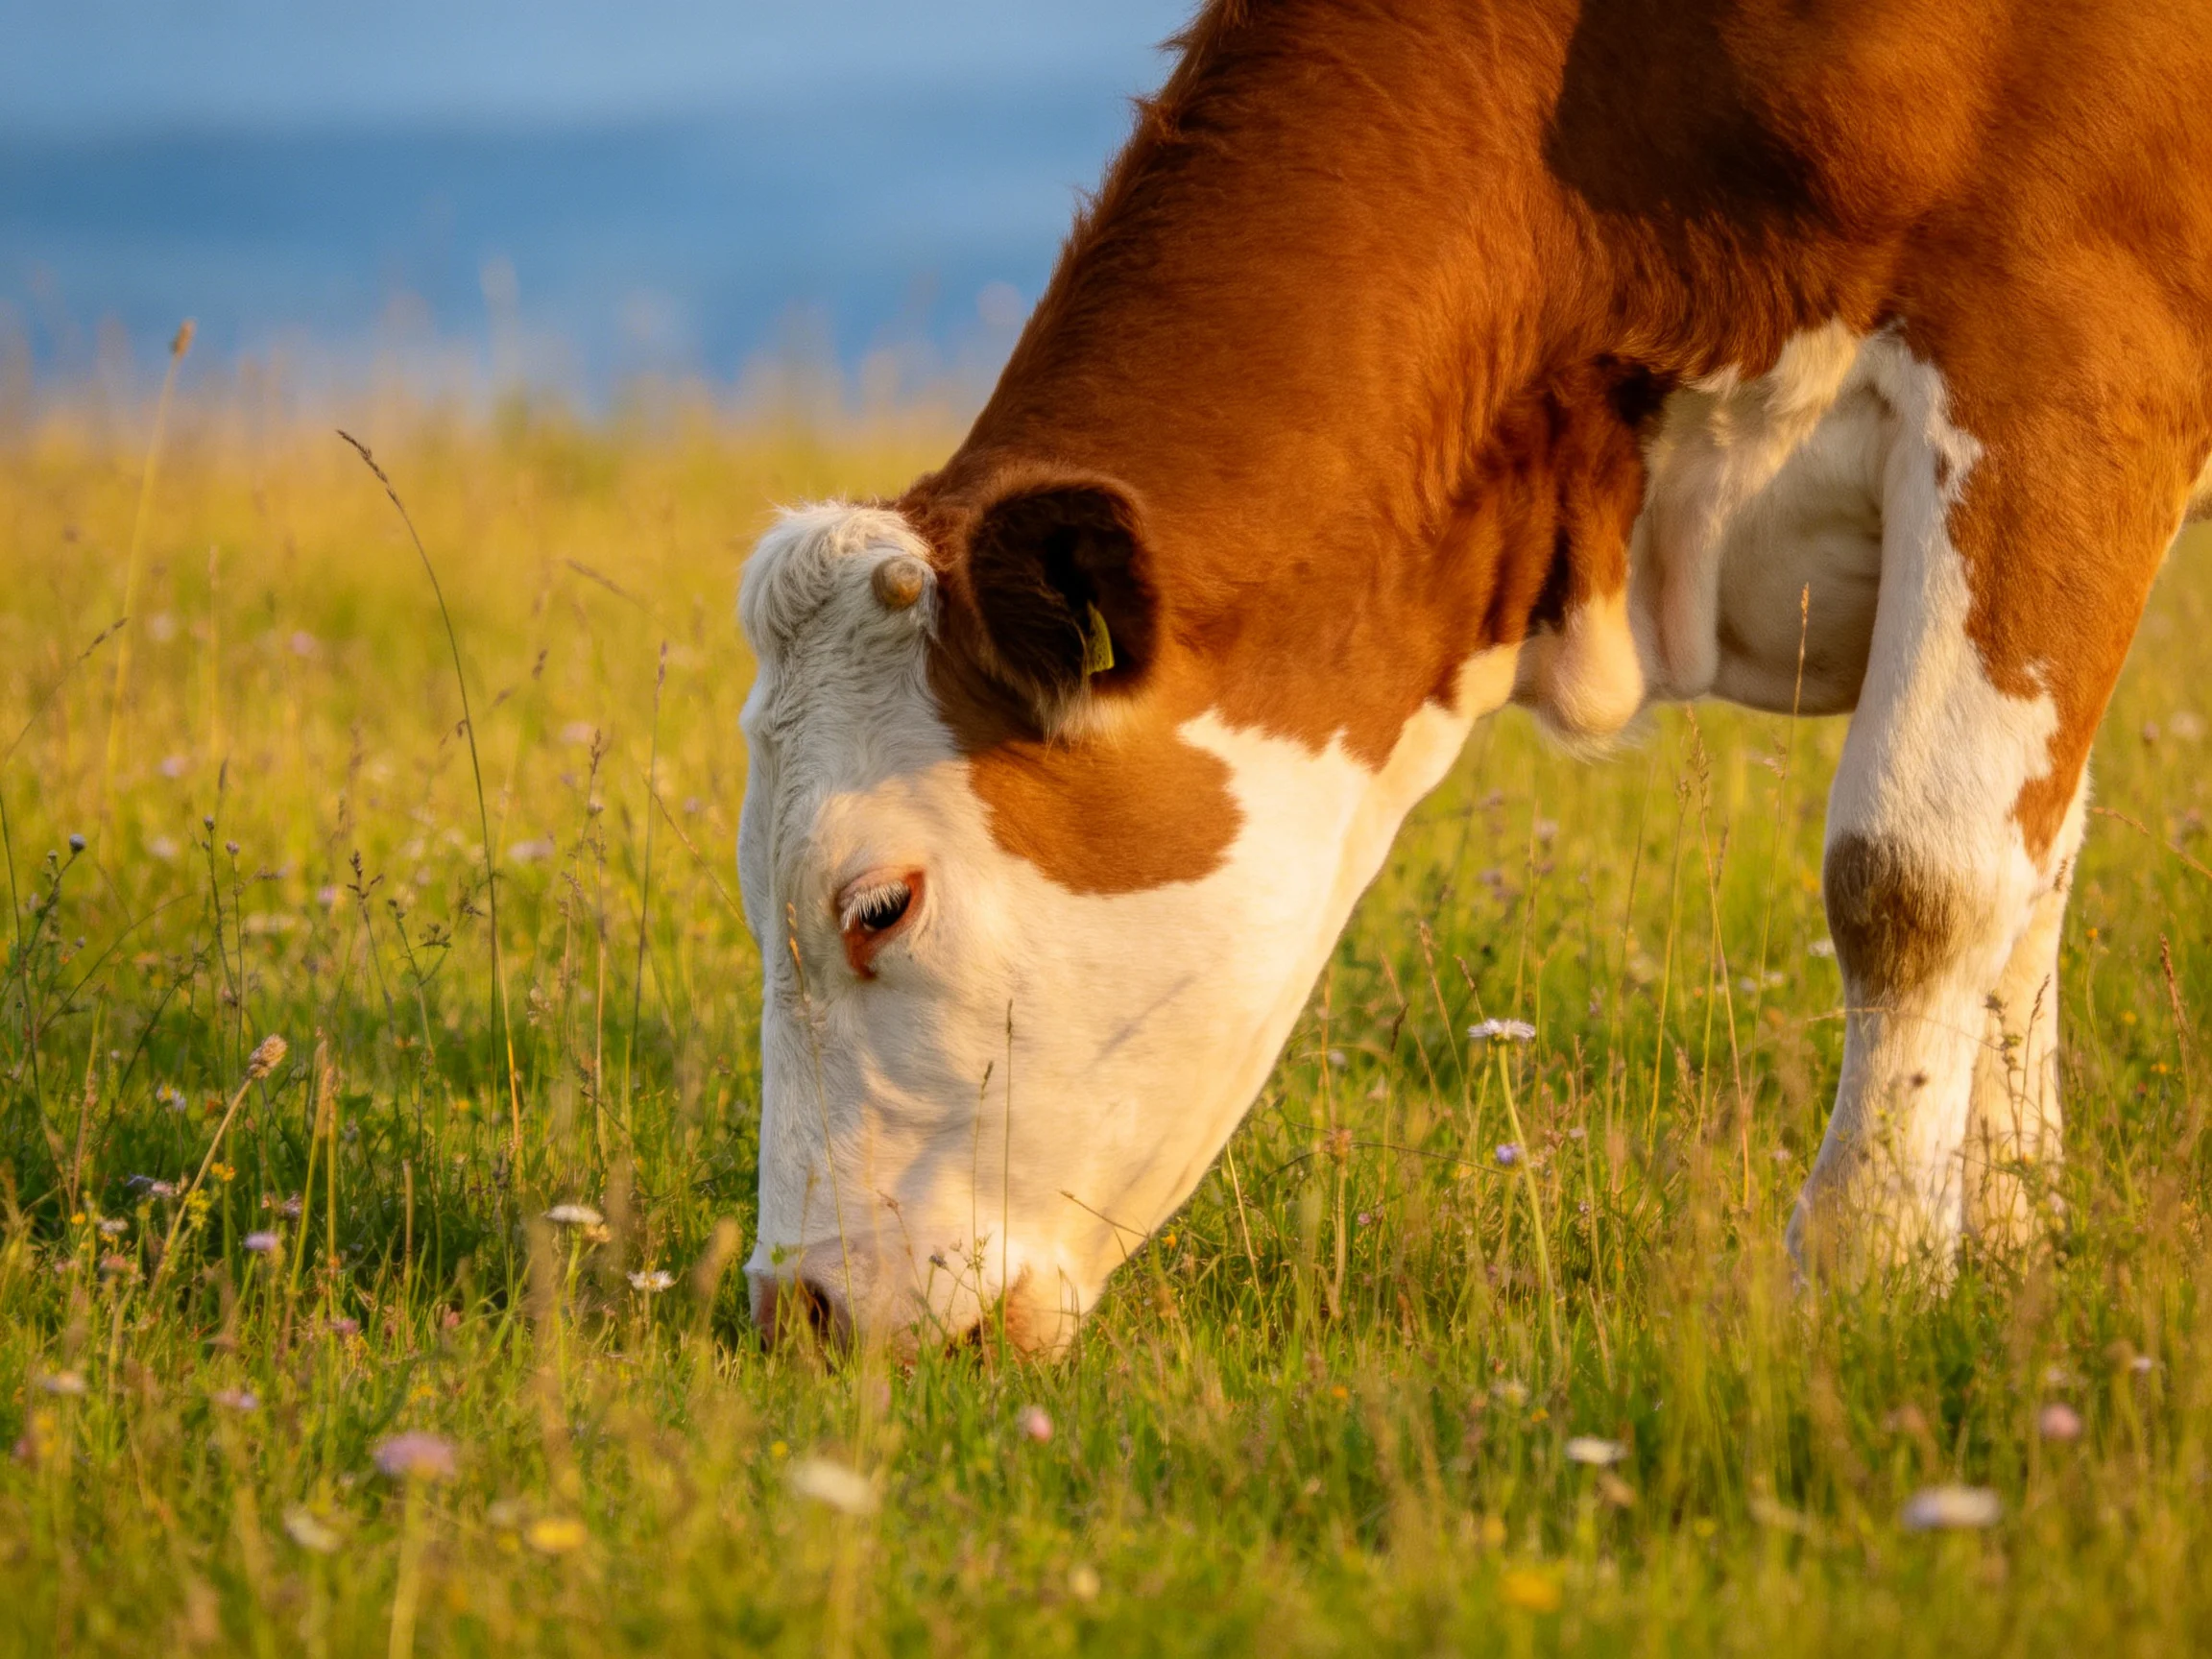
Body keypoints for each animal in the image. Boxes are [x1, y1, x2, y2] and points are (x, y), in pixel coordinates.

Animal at [736, 0, 2212, 1350]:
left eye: (880, 908)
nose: (800, 1307)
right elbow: (2031, 891)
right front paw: (2015, 1255)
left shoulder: (2061, 376)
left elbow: (1918, 877)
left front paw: (1862, 1287)